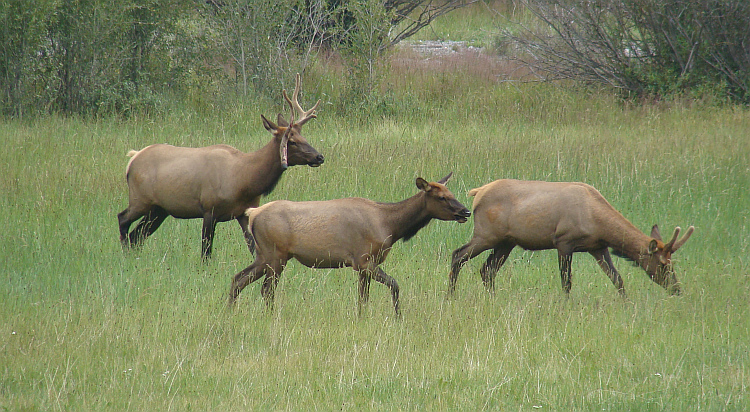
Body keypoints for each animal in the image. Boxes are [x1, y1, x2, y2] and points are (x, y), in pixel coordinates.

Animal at [117, 73, 324, 260]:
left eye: (303, 136)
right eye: (292, 141)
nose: (319, 156)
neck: (245, 180)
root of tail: (133, 158)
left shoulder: (244, 212)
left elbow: (252, 249)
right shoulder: (209, 209)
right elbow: (206, 252)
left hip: (159, 209)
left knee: (138, 235)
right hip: (140, 199)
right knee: (123, 219)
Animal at [232, 172, 472, 318]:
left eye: (452, 193)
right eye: (441, 197)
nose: (466, 211)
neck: (390, 226)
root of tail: (253, 213)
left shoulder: (363, 266)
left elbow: (362, 298)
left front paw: (362, 318)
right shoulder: (363, 260)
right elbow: (394, 284)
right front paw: (398, 316)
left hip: (263, 255)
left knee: (238, 279)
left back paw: (229, 312)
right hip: (276, 255)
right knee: (266, 290)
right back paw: (270, 317)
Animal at [446, 179, 700, 298]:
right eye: (663, 264)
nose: (676, 288)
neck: (598, 222)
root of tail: (477, 192)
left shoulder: (598, 247)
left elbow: (617, 278)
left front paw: (626, 303)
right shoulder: (564, 242)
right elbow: (566, 282)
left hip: (507, 241)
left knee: (487, 270)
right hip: (486, 234)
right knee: (458, 255)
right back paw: (450, 295)